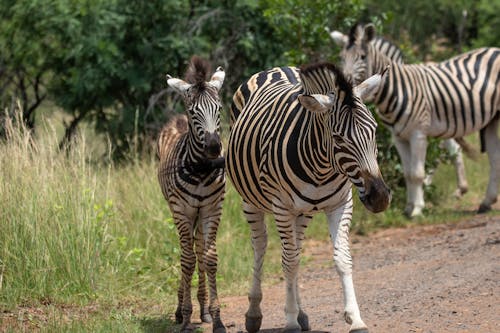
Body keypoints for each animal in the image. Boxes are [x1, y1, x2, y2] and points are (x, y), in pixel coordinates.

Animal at [157, 56, 226, 332]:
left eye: (219, 109)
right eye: (194, 111)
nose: (214, 148)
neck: (201, 170)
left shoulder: (212, 209)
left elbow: (209, 259)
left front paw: (216, 317)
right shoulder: (182, 211)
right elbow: (186, 261)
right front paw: (185, 317)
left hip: (199, 213)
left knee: (198, 251)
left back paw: (204, 308)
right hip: (179, 211)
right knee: (185, 253)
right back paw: (180, 310)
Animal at [226, 61, 390, 330]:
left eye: (374, 131)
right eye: (338, 138)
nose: (380, 198)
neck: (322, 168)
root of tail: (276, 68)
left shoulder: (341, 204)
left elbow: (342, 259)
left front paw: (355, 319)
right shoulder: (282, 207)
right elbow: (289, 263)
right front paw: (290, 320)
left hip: (303, 212)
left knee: (297, 248)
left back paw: (302, 313)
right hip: (251, 201)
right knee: (261, 245)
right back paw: (254, 313)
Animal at [336, 22, 500, 215]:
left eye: (362, 57)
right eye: (341, 57)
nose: (344, 88)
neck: (398, 89)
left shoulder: (418, 134)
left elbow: (417, 173)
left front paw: (417, 209)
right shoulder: (399, 137)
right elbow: (407, 173)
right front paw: (409, 207)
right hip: (491, 120)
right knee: (494, 157)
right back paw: (486, 202)